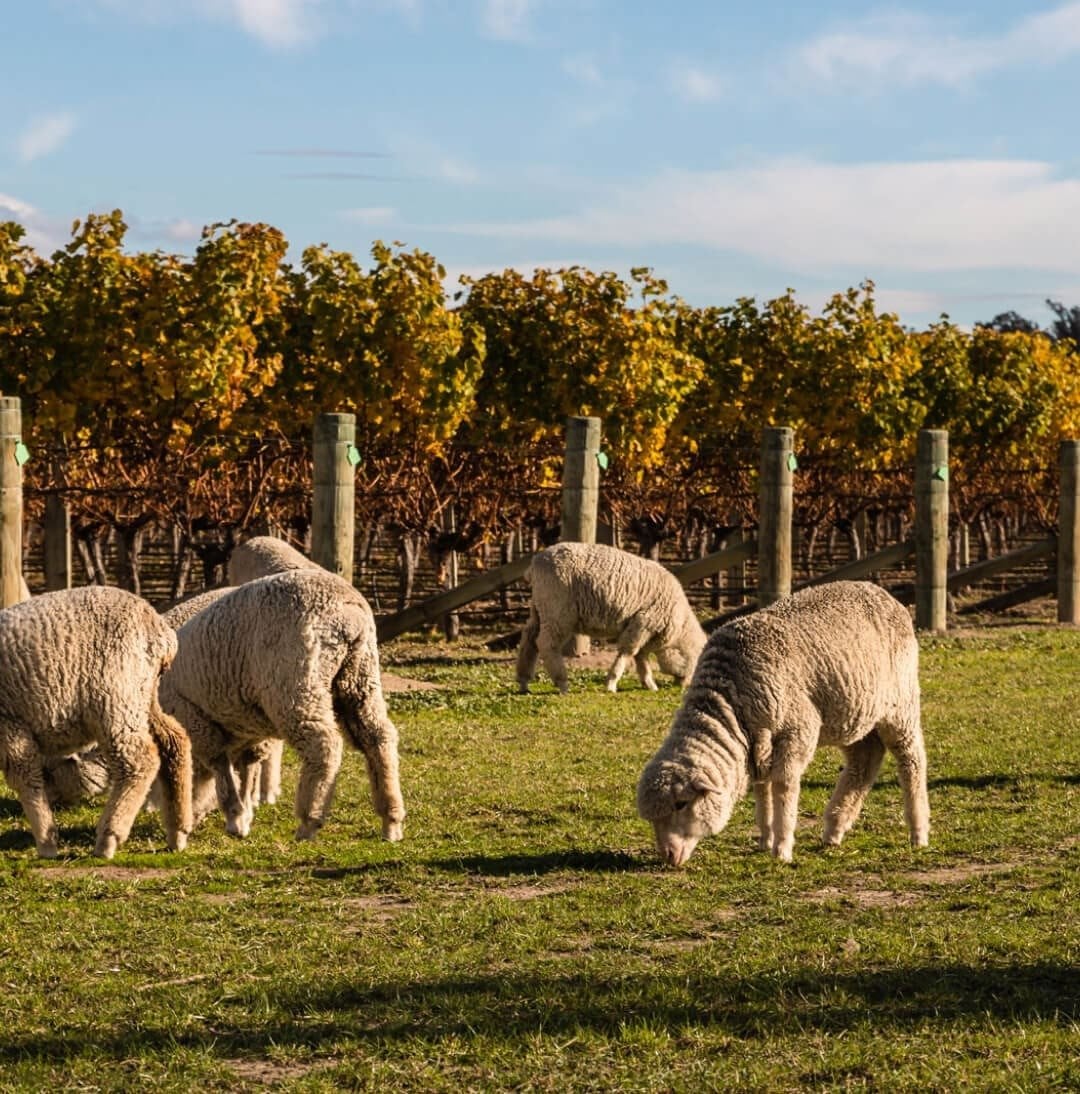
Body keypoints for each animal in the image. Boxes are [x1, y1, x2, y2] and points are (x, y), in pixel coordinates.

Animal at [0, 586, 191, 857]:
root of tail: (159, 628)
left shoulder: (9, 724)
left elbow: (25, 778)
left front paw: (47, 843)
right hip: (141, 696)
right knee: (174, 740)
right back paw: (178, 833)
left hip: (116, 695)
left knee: (140, 760)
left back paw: (109, 838)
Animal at [163, 568, 407, 840]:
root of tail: (348, 607)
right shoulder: (248, 732)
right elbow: (245, 769)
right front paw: (243, 815)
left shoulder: (194, 720)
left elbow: (221, 770)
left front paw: (234, 816)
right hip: (359, 677)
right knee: (378, 737)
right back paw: (391, 819)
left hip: (295, 682)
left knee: (324, 745)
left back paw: (309, 822)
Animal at [516, 542, 709, 695]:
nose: (685, 685)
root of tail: (534, 566)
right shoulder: (644, 622)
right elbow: (628, 652)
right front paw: (611, 684)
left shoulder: (641, 627)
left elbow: (641, 657)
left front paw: (648, 683)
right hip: (557, 610)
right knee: (546, 644)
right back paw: (562, 684)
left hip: (540, 608)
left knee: (529, 639)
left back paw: (523, 682)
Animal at [639, 577, 932, 866]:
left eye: (681, 804)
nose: (667, 856)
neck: (730, 698)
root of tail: (884, 593)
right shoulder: (756, 746)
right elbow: (762, 791)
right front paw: (765, 837)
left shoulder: (796, 731)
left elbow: (783, 787)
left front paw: (781, 847)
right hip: (855, 714)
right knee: (864, 761)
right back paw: (835, 828)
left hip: (900, 704)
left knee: (911, 761)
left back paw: (918, 831)